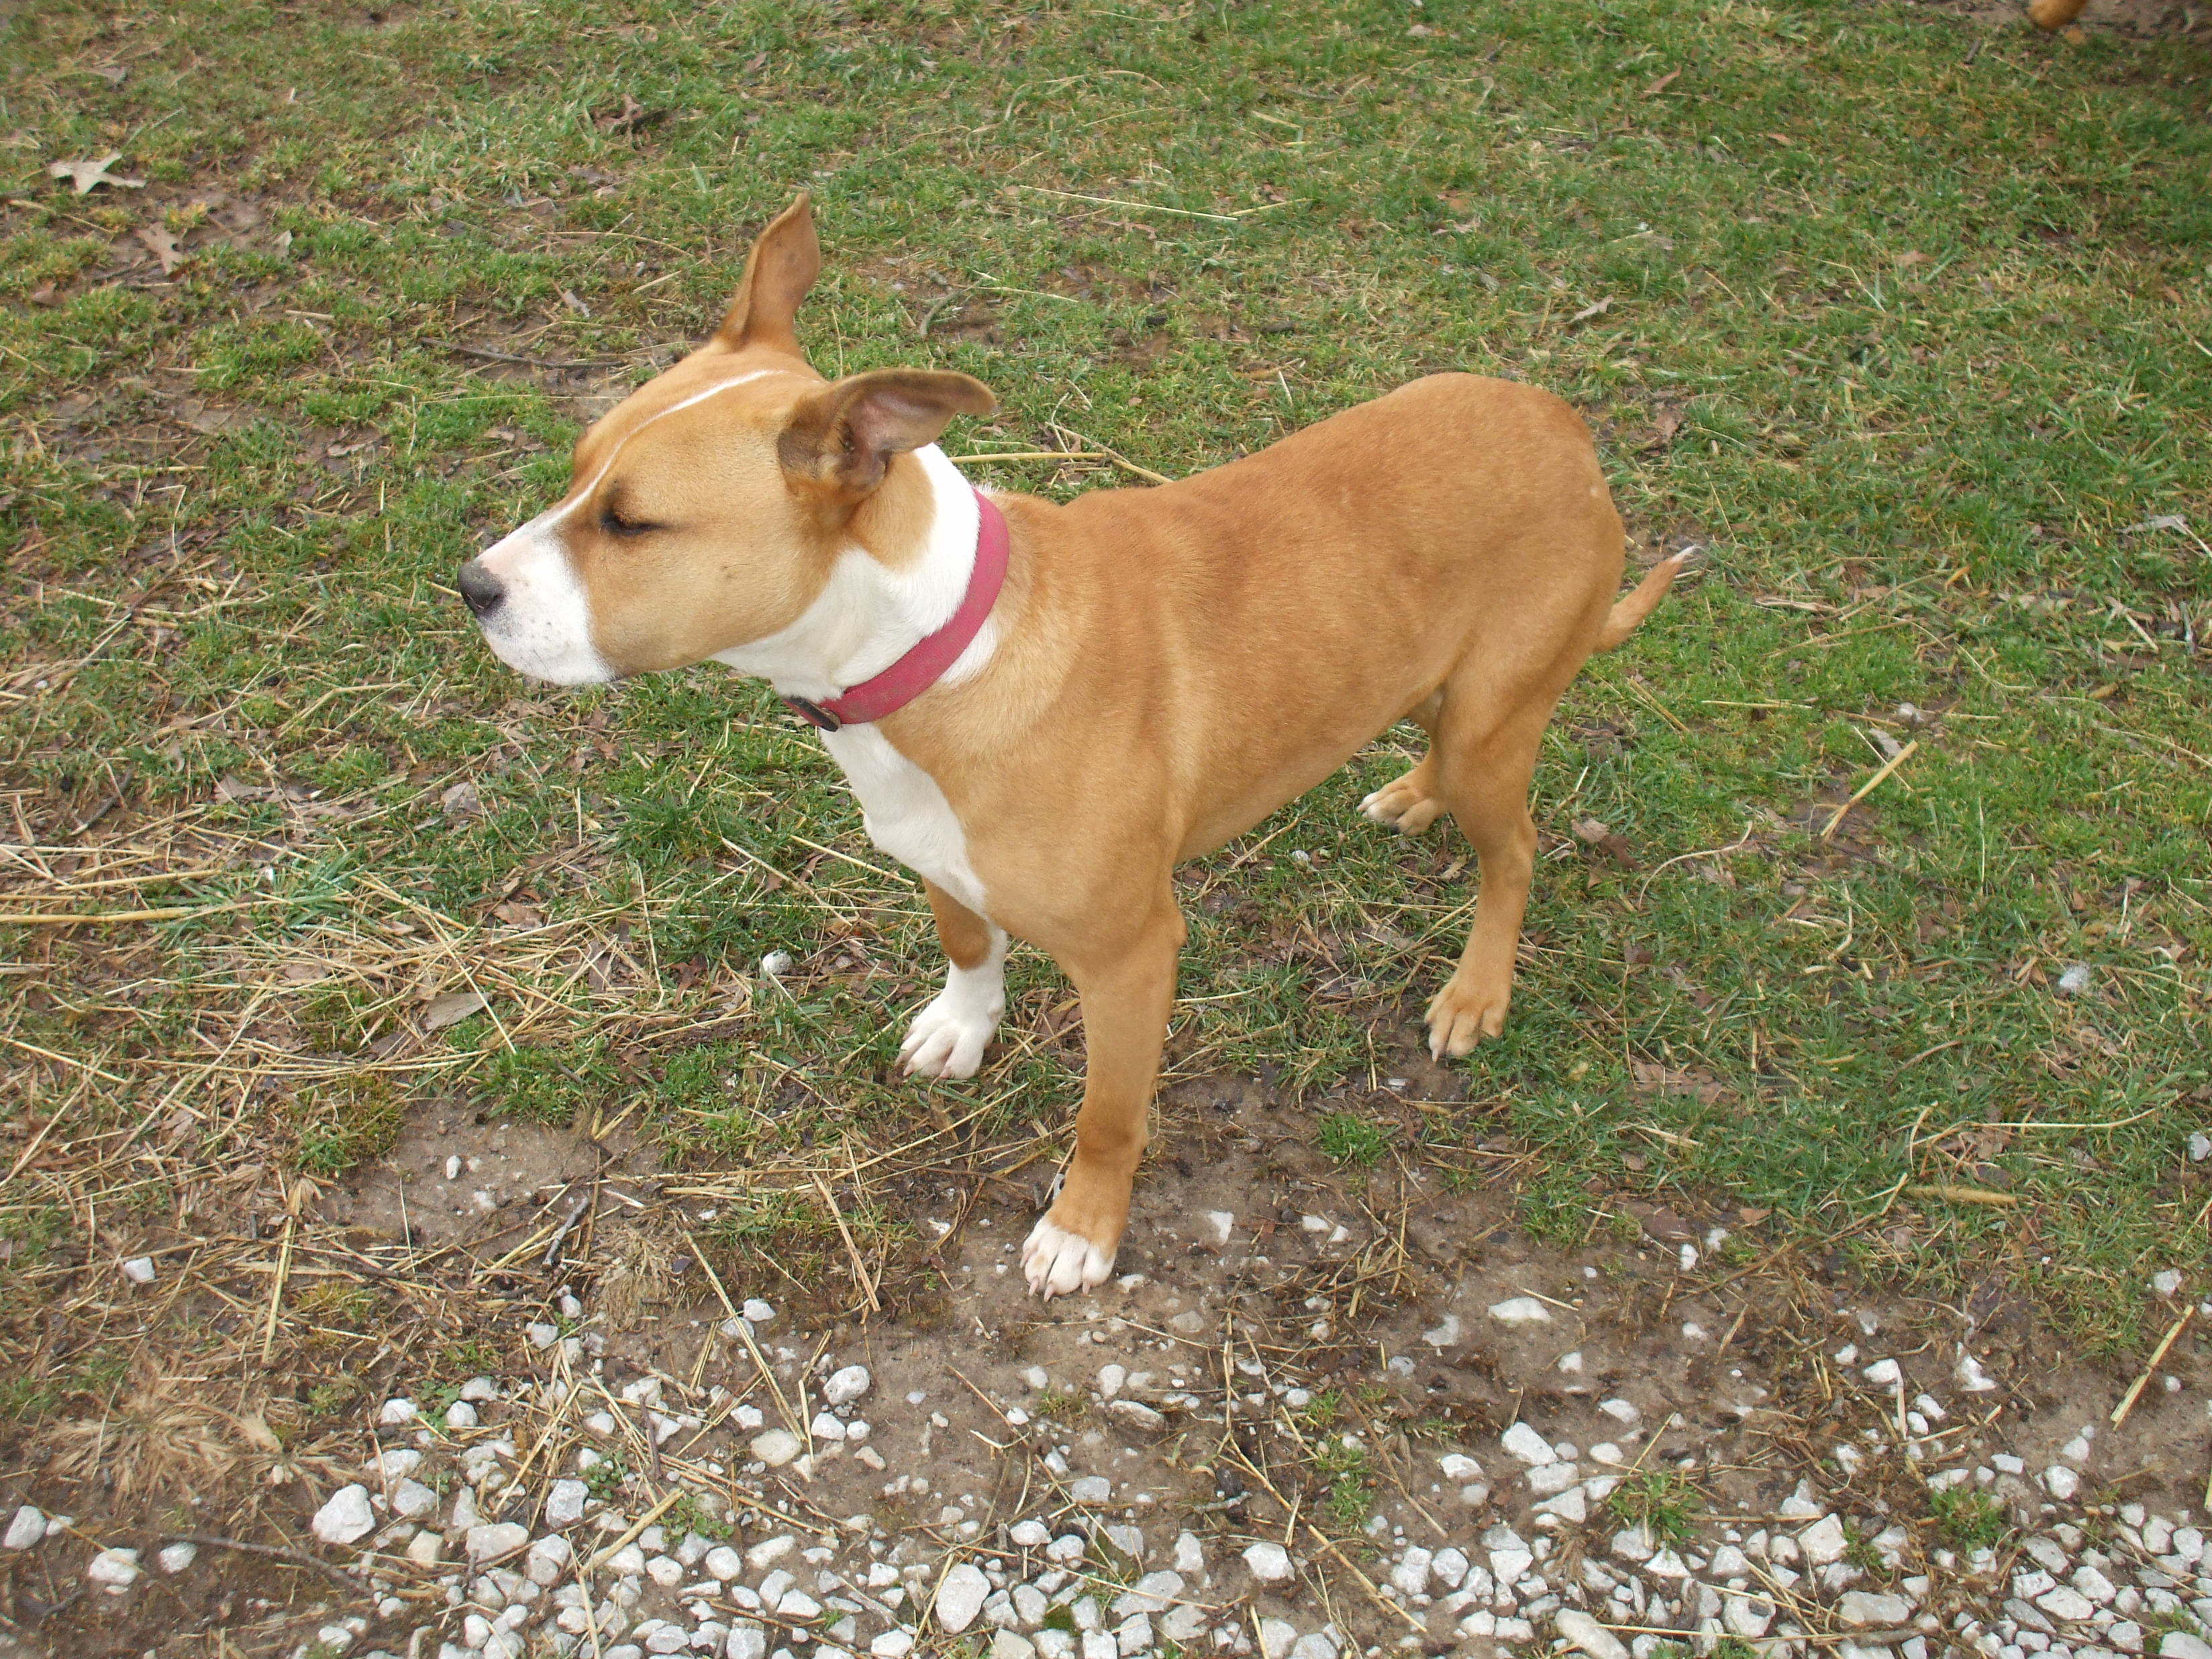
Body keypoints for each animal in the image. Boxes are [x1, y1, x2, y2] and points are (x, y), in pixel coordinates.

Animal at [458, 195, 1680, 1309]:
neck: (942, 646)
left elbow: (1108, 1114)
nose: (471, 587)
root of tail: (1560, 421)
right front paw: (964, 1027)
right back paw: (1410, 794)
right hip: (1446, 687)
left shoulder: (1134, 956)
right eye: (577, 472)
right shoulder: (935, 854)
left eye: (631, 524)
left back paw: (1475, 990)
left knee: (1514, 853)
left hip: (1493, 728)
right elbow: (967, 938)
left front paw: (1082, 1230)